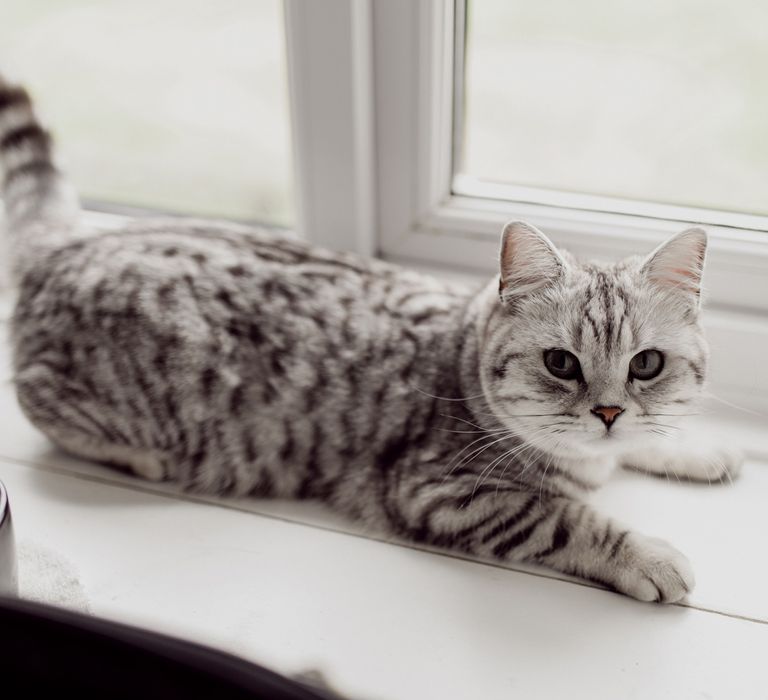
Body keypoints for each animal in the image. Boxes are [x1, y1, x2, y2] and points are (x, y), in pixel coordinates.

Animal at [1, 75, 744, 600]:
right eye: (561, 363)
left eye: (646, 364)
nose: (609, 412)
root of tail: (67, 246)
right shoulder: (441, 489)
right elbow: (566, 518)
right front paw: (647, 554)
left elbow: (649, 442)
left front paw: (698, 450)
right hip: (96, 402)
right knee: (37, 405)